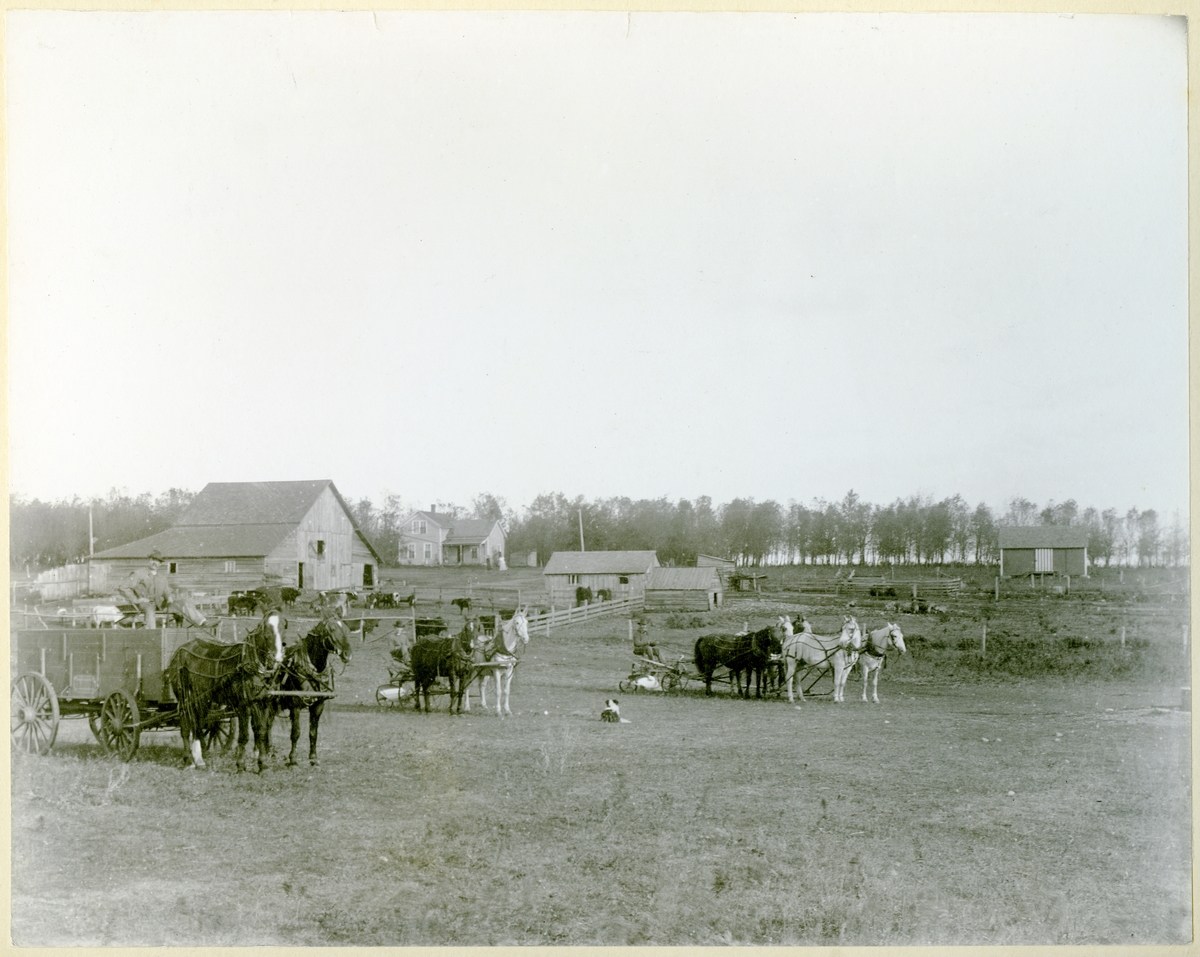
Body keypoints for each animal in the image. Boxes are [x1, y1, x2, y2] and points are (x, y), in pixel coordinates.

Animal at [165, 611, 284, 777]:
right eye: (266, 632)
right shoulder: (243, 706)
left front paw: (262, 765)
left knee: (197, 725)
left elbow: (261, 732)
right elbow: (244, 736)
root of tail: (180, 651)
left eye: (283, 628)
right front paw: (240, 765)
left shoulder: (264, 703)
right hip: (184, 699)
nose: (277, 658)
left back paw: (199, 760)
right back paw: (188, 760)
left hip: (201, 699)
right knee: (185, 727)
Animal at [268, 614, 350, 772]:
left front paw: (313, 759)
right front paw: (293, 760)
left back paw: (269, 752)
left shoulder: (318, 706)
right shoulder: (295, 707)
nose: (347, 654)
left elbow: (313, 733)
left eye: (345, 628)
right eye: (332, 629)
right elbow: (295, 733)